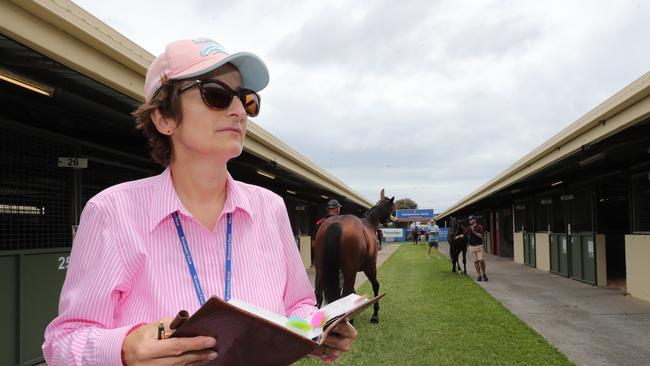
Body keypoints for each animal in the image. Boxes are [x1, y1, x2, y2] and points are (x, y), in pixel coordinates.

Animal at [312, 189, 392, 324]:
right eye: (392, 207)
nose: (388, 221)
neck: (369, 223)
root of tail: (336, 223)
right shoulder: (370, 267)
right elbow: (375, 285)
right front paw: (375, 315)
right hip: (350, 270)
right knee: (345, 293)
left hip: (321, 268)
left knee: (319, 293)